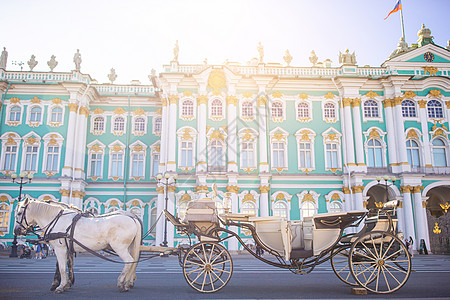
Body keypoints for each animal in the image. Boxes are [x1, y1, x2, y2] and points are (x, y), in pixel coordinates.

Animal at [14, 198, 142, 294]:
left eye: (19, 213)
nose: (16, 230)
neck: (56, 220)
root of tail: (133, 218)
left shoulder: (60, 249)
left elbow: (61, 267)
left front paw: (59, 286)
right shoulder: (68, 249)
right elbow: (68, 265)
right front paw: (66, 284)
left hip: (120, 247)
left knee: (129, 261)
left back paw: (121, 283)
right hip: (129, 247)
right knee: (133, 262)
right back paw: (127, 283)